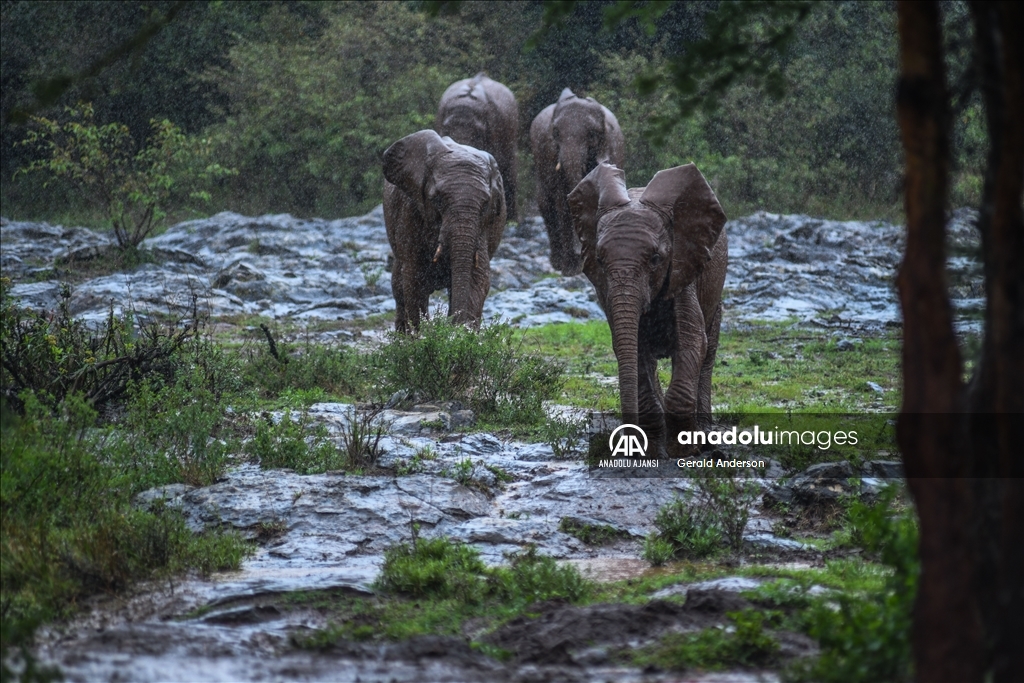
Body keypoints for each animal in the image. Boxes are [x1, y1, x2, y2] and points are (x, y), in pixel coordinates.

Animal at [382, 131, 505, 333]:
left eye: (486, 204)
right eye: (437, 200)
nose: (454, 326)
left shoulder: (483, 228)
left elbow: (477, 277)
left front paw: (462, 334)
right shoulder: (410, 210)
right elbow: (413, 278)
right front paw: (422, 336)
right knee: (398, 285)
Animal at [536, 88, 622, 274]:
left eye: (591, 134)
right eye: (556, 133)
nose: (579, 252)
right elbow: (561, 201)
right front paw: (571, 270)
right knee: (546, 203)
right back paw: (557, 264)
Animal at [569, 162, 729, 450]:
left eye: (656, 259)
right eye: (599, 260)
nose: (626, 440)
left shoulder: (684, 268)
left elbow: (693, 341)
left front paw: (683, 449)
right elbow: (632, 348)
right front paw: (653, 448)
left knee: (709, 351)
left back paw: (705, 433)